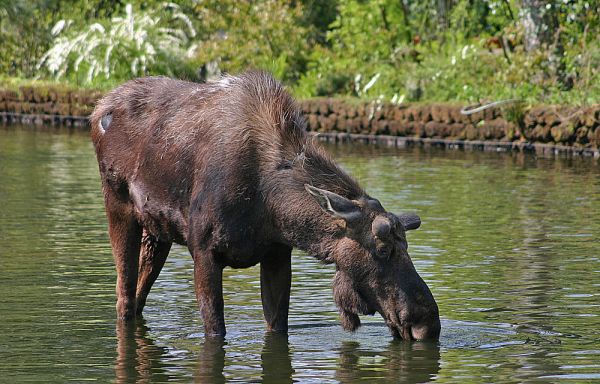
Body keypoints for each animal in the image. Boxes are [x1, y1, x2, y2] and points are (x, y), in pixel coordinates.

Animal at [90, 70, 440, 340]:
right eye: (382, 249)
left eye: (405, 245)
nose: (428, 323)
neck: (271, 206)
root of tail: (97, 109)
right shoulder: (203, 250)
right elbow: (215, 328)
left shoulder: (276, 253)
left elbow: (276, 324)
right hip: (117, 204)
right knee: (124, 297)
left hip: (157, 229)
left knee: (138, 294)